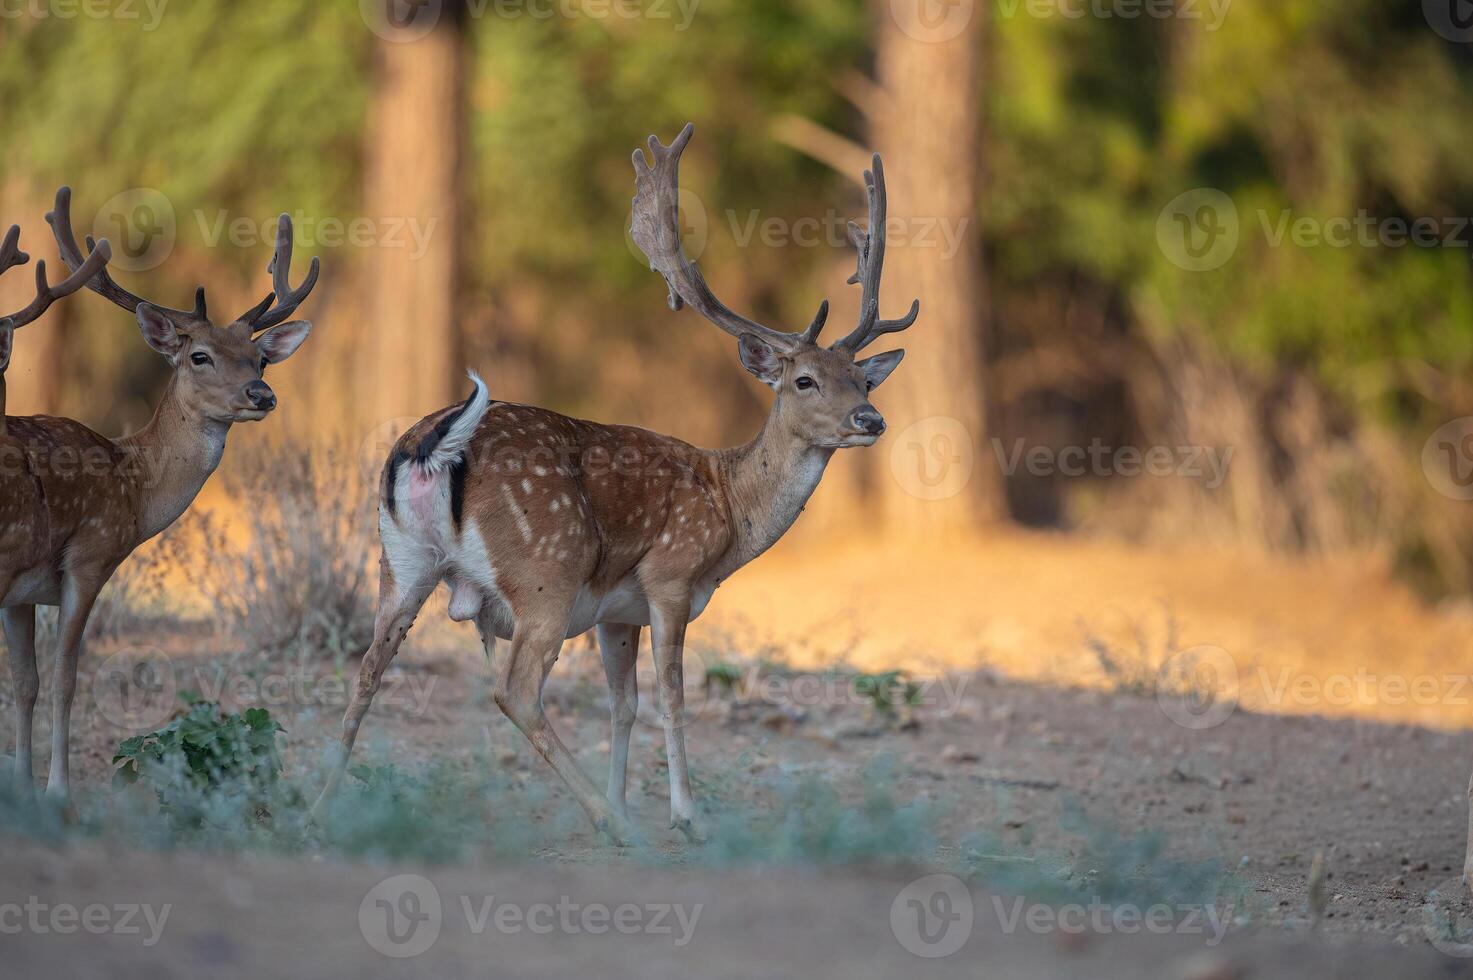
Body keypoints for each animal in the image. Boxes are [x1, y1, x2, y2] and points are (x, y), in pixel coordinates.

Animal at [3, 187, 316, 801]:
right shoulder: (90, 555)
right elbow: (65, 678)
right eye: (199, 356)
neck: (133, 485)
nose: (262, 394)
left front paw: (23, 789)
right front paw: (59, 794)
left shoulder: (23, 592)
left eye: (261, 358)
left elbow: (26, 683)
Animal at [315, 122, 913, 842]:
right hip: (545, 566)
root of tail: (428, 446)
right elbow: (671, 698)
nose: (871, 419)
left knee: (367, 668)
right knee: (514, 688)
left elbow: (621, 704)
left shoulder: (616, 611)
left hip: (400, 560)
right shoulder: (669, 576)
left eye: (861, 379)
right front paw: (682, 815)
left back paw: (321, 805)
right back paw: (608, 821)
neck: (730, 511)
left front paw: (627, 800)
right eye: (804, 380)